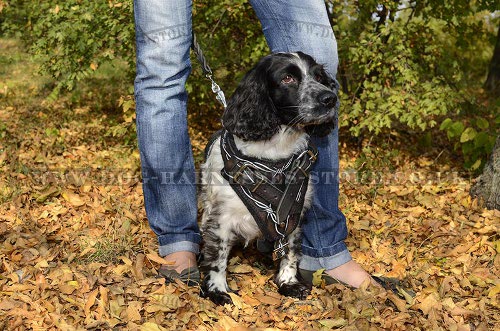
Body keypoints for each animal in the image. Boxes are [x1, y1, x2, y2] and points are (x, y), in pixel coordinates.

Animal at [199, 52, 340, 306]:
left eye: (318, 77)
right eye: (287, 78)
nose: (330, 99)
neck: (274, 157)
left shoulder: (293, 213)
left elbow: (290, 251)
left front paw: (288, 283)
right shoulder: (220, 218)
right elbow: (218, 257)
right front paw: (217, 290)